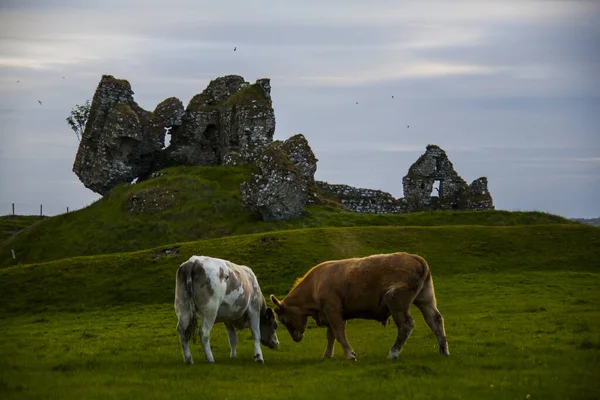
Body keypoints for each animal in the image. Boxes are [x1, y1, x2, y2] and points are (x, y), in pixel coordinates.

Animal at [270, 253, 448, 362]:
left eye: (282, 320)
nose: (296, 338)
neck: (315, 283)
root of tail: (413, 257)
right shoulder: (330, 314)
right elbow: (331, 336)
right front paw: (327, 355)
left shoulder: (333, 310)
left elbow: (339, 333)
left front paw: (350, 355)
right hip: (425, 299)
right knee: (435, 320)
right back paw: (443, 351)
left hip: (397, 303)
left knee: (406, 325)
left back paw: (393, 353)